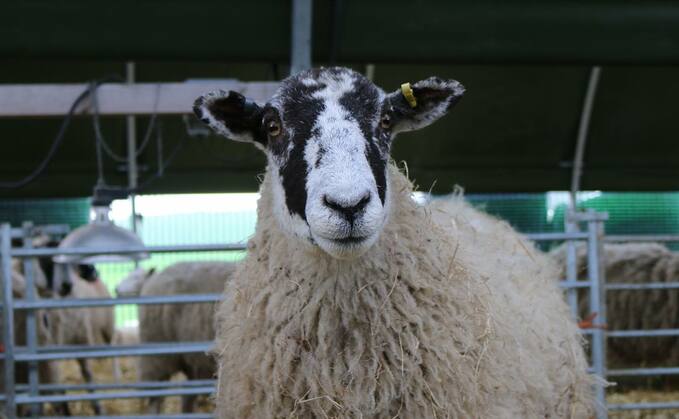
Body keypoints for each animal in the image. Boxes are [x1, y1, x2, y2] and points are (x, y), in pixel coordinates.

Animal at [119, 262, 239, 414]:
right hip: (157, 350)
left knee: (184, 395)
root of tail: (156, 277)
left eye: (135, 277)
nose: (116, 289)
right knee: (156, 393)